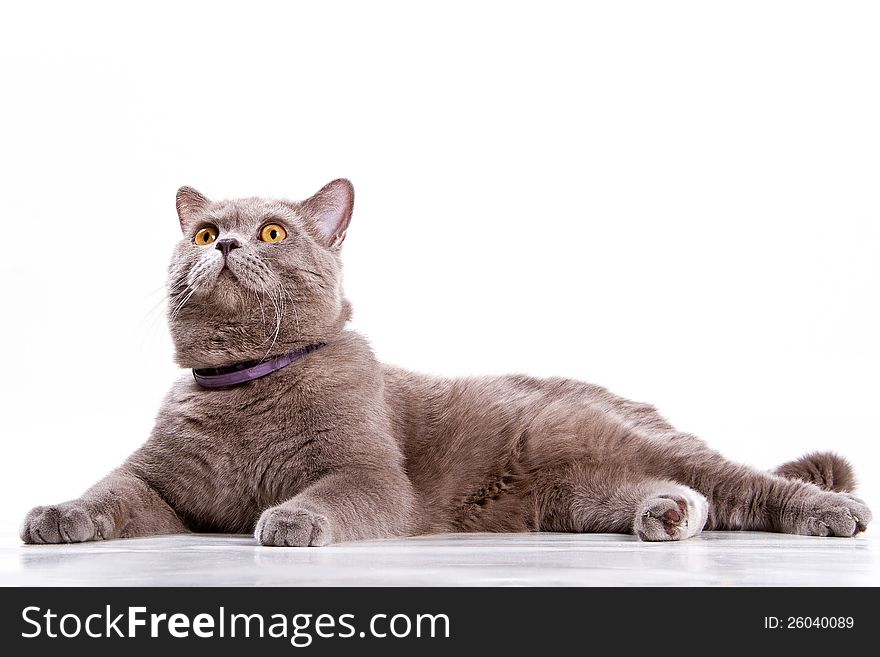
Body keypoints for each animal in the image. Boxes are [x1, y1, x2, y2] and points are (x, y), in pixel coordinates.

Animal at [18, 178, 868, 544]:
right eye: (201, 233)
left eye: (272, 232)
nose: (223, 242)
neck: (248, 388)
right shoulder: (160, 484)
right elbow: (109, 488)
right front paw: (56, 514)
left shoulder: (369, 474)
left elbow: (332, 493)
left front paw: (289, 518)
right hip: (571, 496)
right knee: (686, 493)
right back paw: (667, 515)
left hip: (632, 441)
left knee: (746, 483)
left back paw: (833, 512)